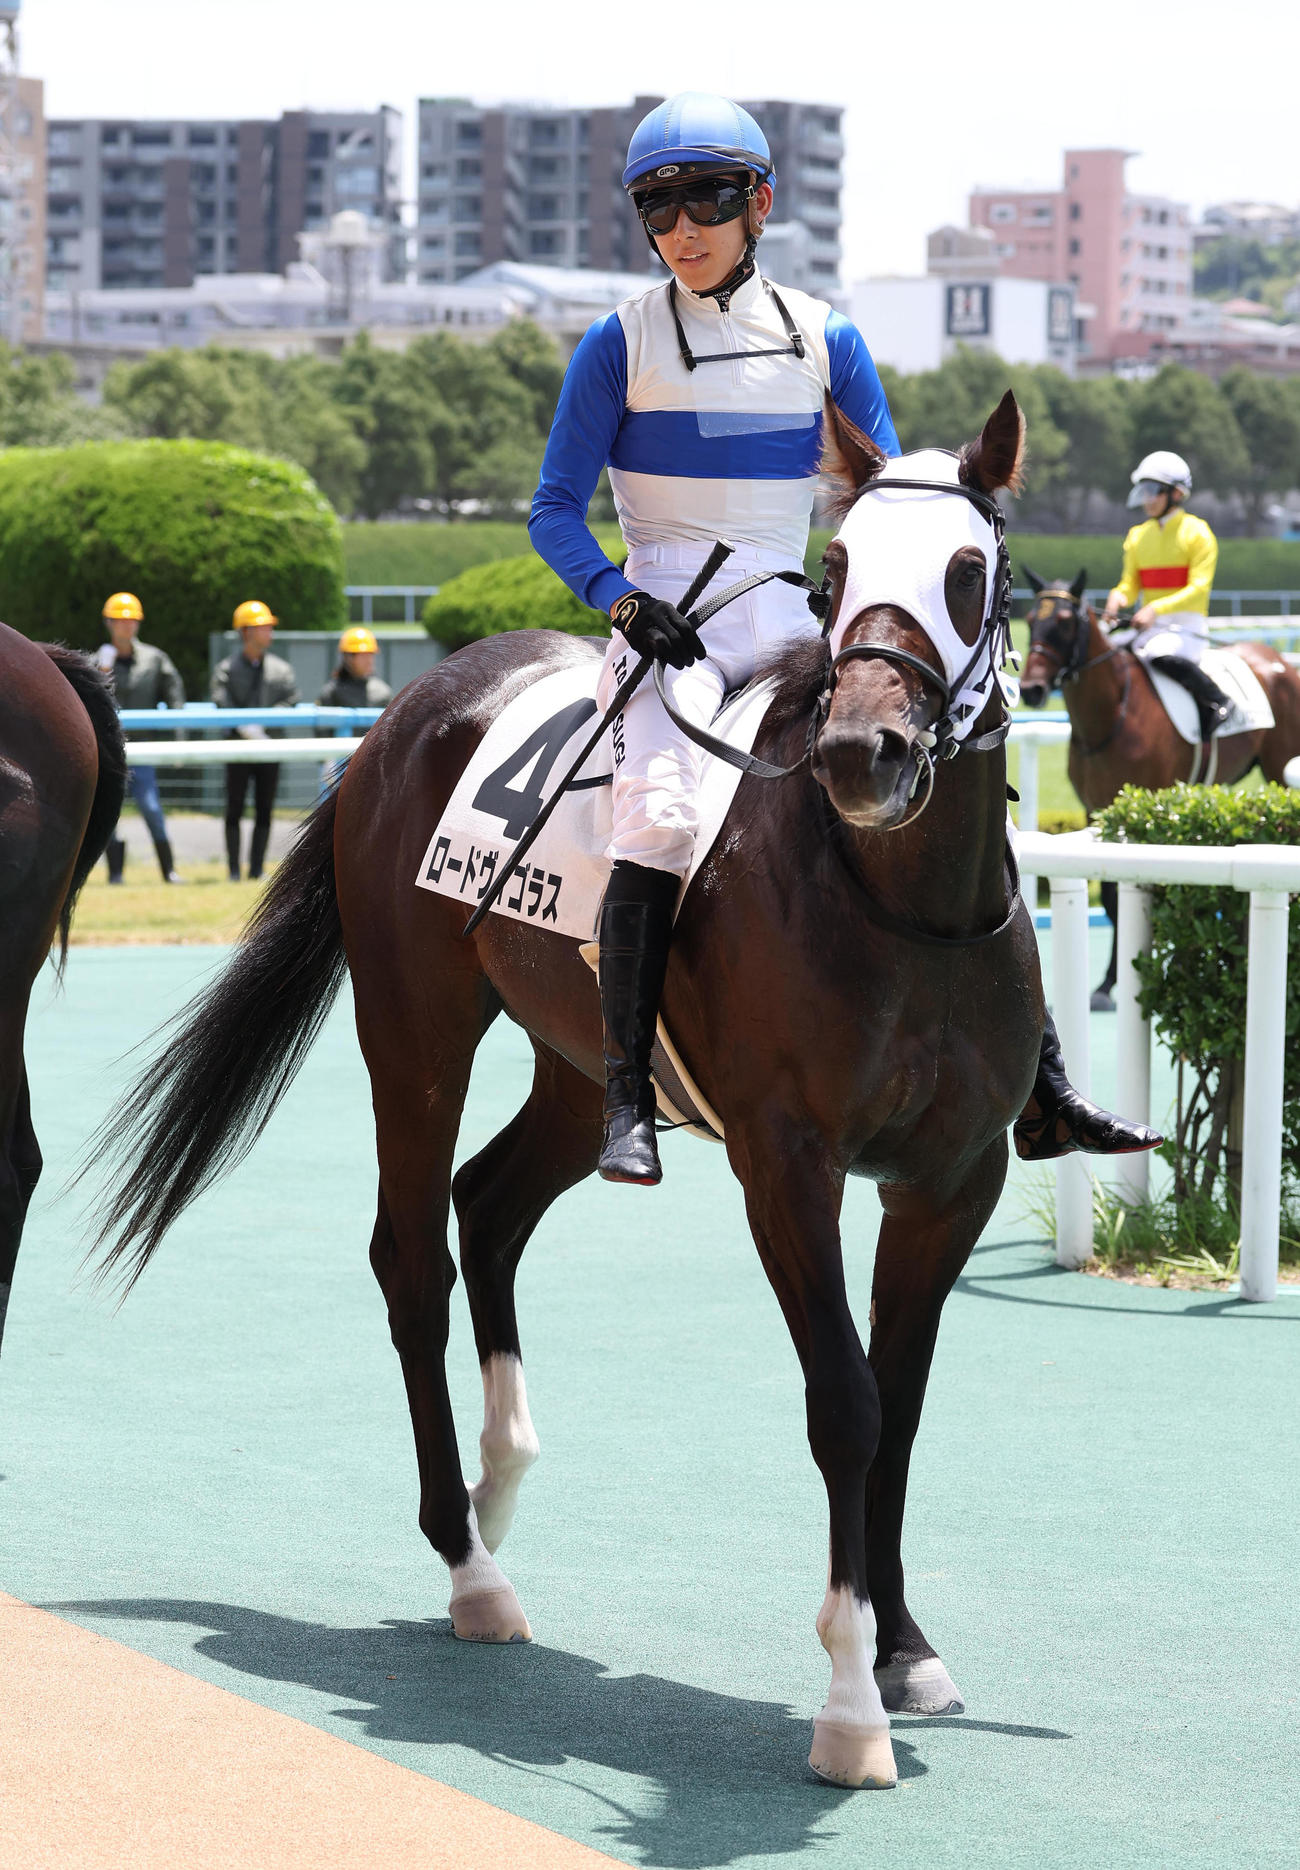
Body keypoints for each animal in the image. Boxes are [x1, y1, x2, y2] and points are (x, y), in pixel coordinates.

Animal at [88, 393, 1045, 1791]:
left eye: (970, 575)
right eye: (837, 572)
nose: (862, 752)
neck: (898, 908)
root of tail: (414, 703)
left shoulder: (953, 1179)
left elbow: (905, 1407)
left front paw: (906, 1647)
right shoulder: (787, 1166)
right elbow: (848, 1403)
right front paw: (847, 1703)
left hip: (580, 1061)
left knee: (488, 1204)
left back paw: (501, 1481)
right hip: (415, 1030)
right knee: (412, 1254)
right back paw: (468, 1562)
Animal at [1018, 572, 1300, 1007]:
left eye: (1065, 622)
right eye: (1032, 619)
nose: (1031, 689)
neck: (1110, 719)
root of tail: (1280, 661)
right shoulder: (1097, 811)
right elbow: (1113, 898)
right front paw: (1107, 983)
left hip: (1279, 766)